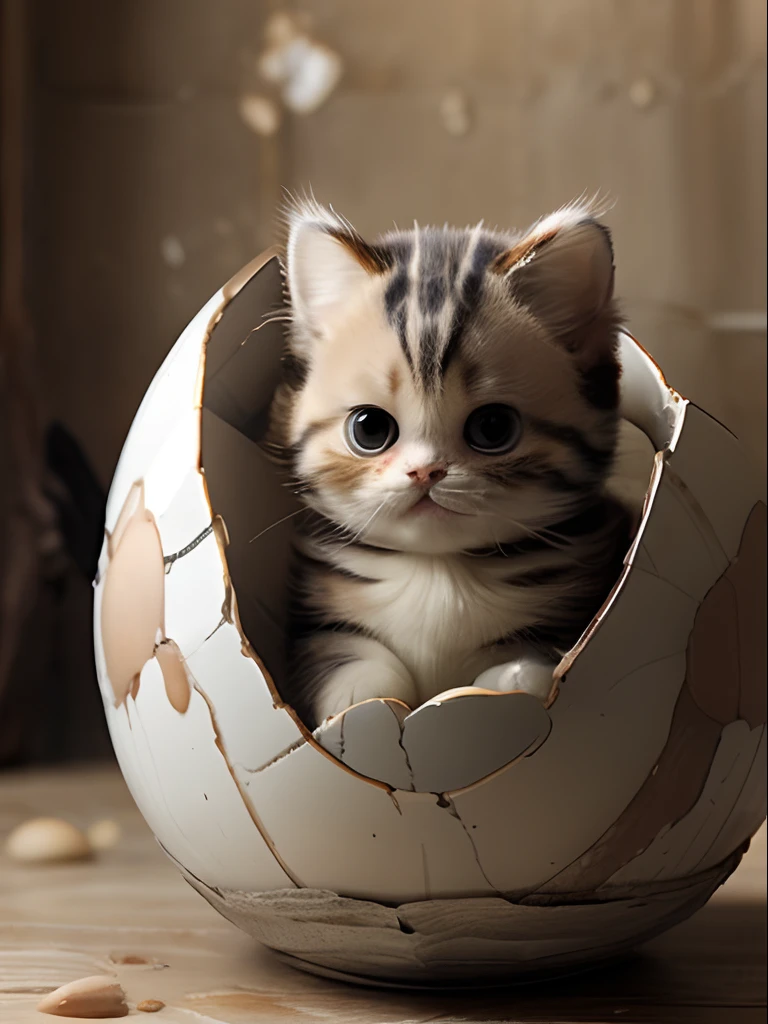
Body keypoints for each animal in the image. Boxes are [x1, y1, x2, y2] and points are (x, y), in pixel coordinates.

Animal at [264, 197, 638, 729]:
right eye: (370, 430)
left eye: (493, 428)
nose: (426, 471)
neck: (438, 571)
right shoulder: (315, 615)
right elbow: (344, 652)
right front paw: (359, 700)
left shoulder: (583, 603)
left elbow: (536, 660)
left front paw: (514, 678)